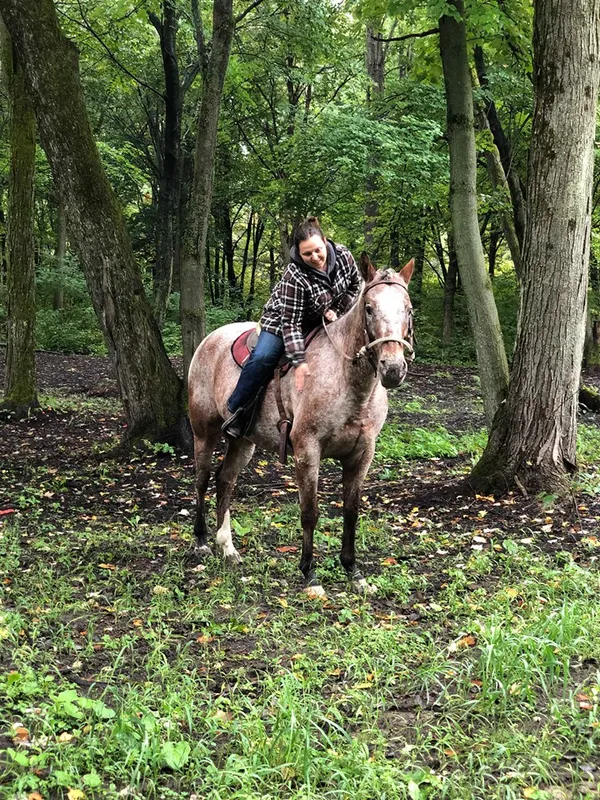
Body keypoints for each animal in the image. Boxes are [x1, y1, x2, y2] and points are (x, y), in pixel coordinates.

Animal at [187, 253, 414, 595]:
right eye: (369, 307)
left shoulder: (363, 454)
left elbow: (351, 511)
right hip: (204, 431)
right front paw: (309, 574)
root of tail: (208, 341)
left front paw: (353, 571)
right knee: (202, 479)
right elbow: (310, 512)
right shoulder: (307, 450)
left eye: (408, 308)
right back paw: (201, 541)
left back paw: (227, 547)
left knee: (224, 480)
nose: (393, 368)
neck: (345, 380)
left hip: (243, 441)